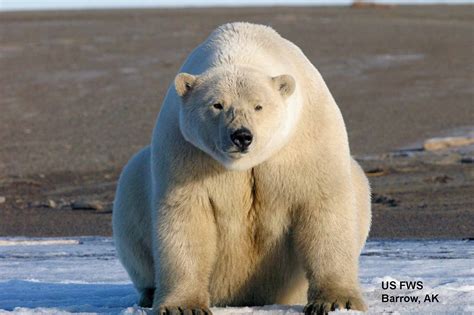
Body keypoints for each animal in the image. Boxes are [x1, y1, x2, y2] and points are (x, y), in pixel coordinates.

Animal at [113, 22, 372, 315]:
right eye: (217, 104)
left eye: (259, 106)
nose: (242, 136)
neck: (243, 47)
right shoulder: (186, 150)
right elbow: (187, 217)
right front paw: (183, 306)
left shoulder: (308, 138)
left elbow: (323, 205)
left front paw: (337, 301)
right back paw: (149, 294)